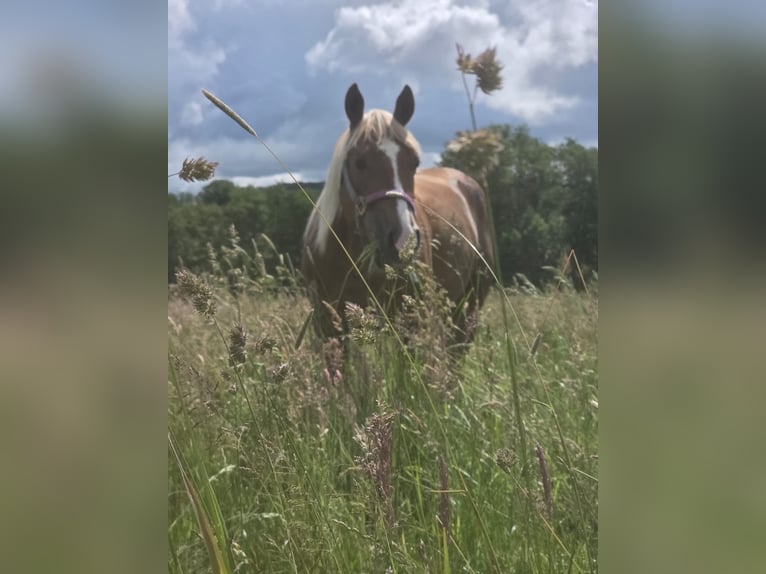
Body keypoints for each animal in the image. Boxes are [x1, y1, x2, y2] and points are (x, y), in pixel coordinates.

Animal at [301, 83, 494, 350]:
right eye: (359, 162)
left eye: (414, 162)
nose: (402, 241)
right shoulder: (328, 324)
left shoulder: (412, 321)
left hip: (470, 303)